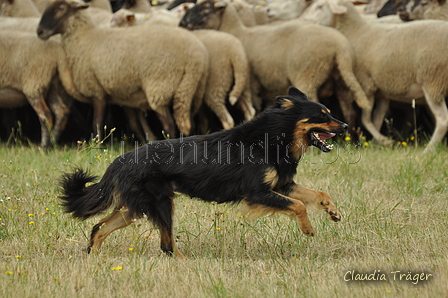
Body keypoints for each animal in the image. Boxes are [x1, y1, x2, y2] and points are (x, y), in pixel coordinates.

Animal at [36, 0, 208, 138]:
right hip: (189, 91)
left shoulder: (96, 90)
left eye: (61, 8)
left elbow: (97, 124)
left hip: (160, 86)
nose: (40, 32)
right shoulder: (122, 96)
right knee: (190, 123)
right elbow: (131, 124)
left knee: (169, 125)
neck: (83, 37)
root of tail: (196, 57)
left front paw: (96, 144)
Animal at [58, 87, 346, 258]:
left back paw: (93, 255)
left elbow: (318, 193)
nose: (345, 126)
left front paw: (332, 211)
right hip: (160, 203)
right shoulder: (257, 192)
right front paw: (307, 229)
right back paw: (184, 261)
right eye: (322, 115)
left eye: (329, 113)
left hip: (137, 207)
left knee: (99, 227)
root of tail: (120, 160)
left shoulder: (281, 185)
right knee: (166, 245)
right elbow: (299, 205)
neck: (273, 136)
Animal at [300, 0, 448, 151]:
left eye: (320, 6)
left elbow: (365, 119)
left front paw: (385, 141)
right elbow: (377, 119)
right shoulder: (383, 92)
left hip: (432, 81)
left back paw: (429, 149)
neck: (355, 31)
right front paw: (377, 144)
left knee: (443, 120)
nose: (303, 20)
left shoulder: (366, 85)